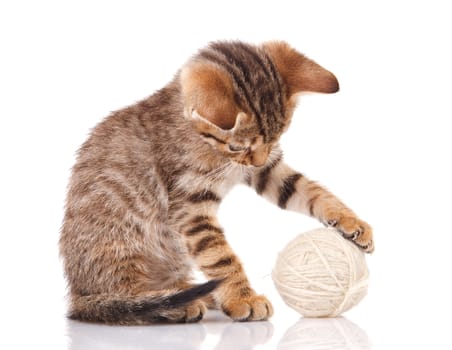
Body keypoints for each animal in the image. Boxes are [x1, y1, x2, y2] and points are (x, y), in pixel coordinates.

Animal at [60, 41, 372, 326]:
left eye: (276, 138)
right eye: (237, 146)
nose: (257, 160)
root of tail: (76, 294)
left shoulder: (268, 172)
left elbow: (308, 190)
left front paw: (351, 221)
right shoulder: (189, 206)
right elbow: (219, 256)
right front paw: (243, 298)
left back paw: (195, 293)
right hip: (122, 240)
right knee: (127, 301)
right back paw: (178, 305)